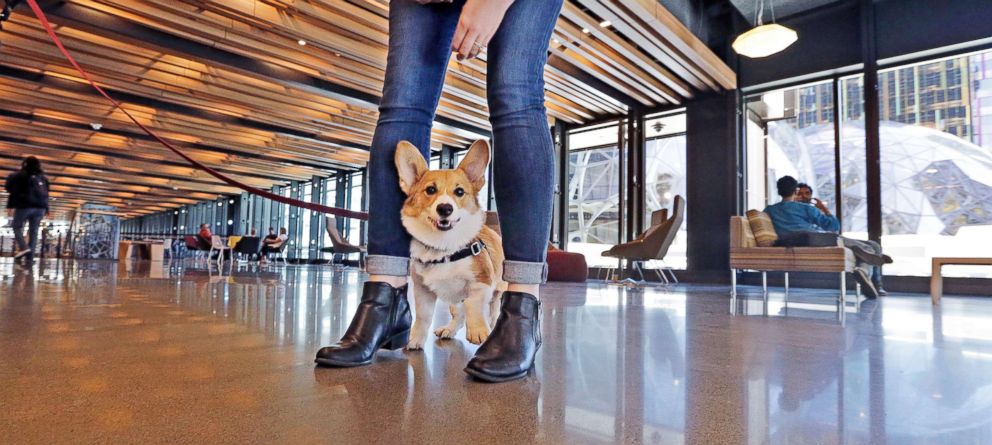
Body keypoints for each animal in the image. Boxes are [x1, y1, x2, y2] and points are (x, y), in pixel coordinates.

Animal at [394, 140, 504, 348]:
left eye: (459, 192)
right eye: (430, 190)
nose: (445, 208)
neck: (444, 248)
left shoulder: (481, 283)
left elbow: (473, 305)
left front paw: (478, 332)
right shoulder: (423, 290)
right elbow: (423, 317)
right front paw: (415, 340)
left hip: (498, 292)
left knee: (493, 313)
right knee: (458, 314)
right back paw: (449, 330)